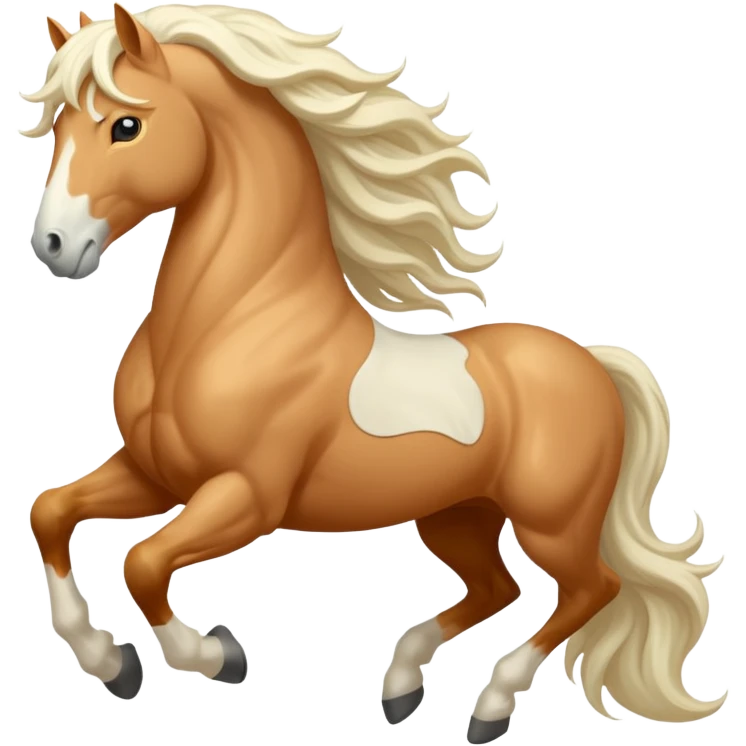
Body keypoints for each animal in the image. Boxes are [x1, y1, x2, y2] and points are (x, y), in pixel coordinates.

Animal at [22, 4, 724, 741]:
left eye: (125, 125)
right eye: (60, 127)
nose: (54, 245)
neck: (234, 322)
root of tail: (593, 361)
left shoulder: (247, 495)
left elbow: (144, 563)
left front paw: (216, 655)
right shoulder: (155, 474)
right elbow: (51, 512)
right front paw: (110, 662)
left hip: (552, 522)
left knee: (591, 588)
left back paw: (490, 707)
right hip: (456, 516)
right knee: (498, 587)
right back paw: (401, 684)